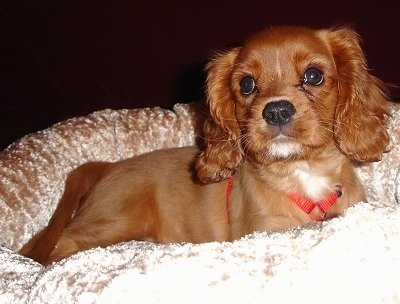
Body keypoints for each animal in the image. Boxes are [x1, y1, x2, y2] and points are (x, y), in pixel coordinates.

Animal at [20, 25, 390, 264]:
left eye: (314, 76)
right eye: (246, 84)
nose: (277, 110)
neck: (302, 173)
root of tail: (109, 166)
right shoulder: (265, 232)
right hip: (113, 221)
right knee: (60, 242)